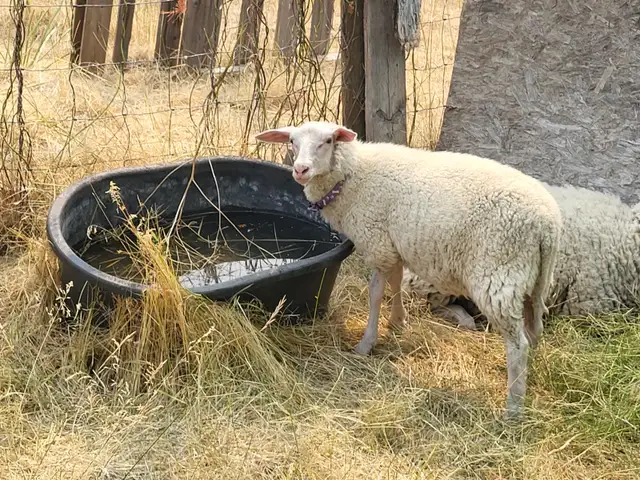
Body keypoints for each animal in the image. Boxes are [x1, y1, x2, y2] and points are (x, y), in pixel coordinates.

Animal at [255, 120, 563, 419]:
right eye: (292, 141)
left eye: (328, 141)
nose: (300, 170)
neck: (353, 174)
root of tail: (547, 224)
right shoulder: (393, 245)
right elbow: (396, 282)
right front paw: (397, 321)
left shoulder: (377, 242)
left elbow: (376, 293)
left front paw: (366, 344)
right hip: (534, 280)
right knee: (534, 329)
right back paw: (528, 378)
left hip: (498, 273)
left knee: (518, 344)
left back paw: (513, 407)